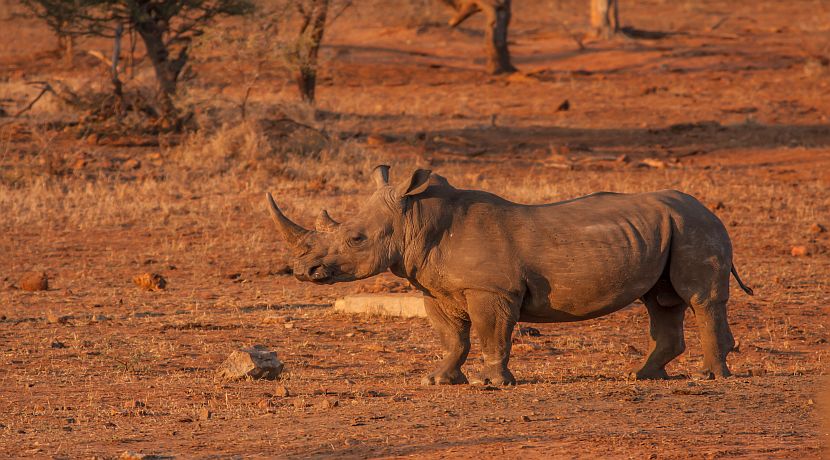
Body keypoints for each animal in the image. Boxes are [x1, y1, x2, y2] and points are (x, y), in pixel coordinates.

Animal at [266, 166, 753, 385]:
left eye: (356, 239)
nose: (303, 271)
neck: (415, 219)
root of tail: (708, 209)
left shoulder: (491, 289)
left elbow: (490, 334)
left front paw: (494, 383)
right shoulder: (436, 289)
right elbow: (453, 338)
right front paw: (440, 379)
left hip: (695, 226)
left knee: (697, 298)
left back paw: (711, 377)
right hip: (672, 226)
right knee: (662, 300)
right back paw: (645, 376)